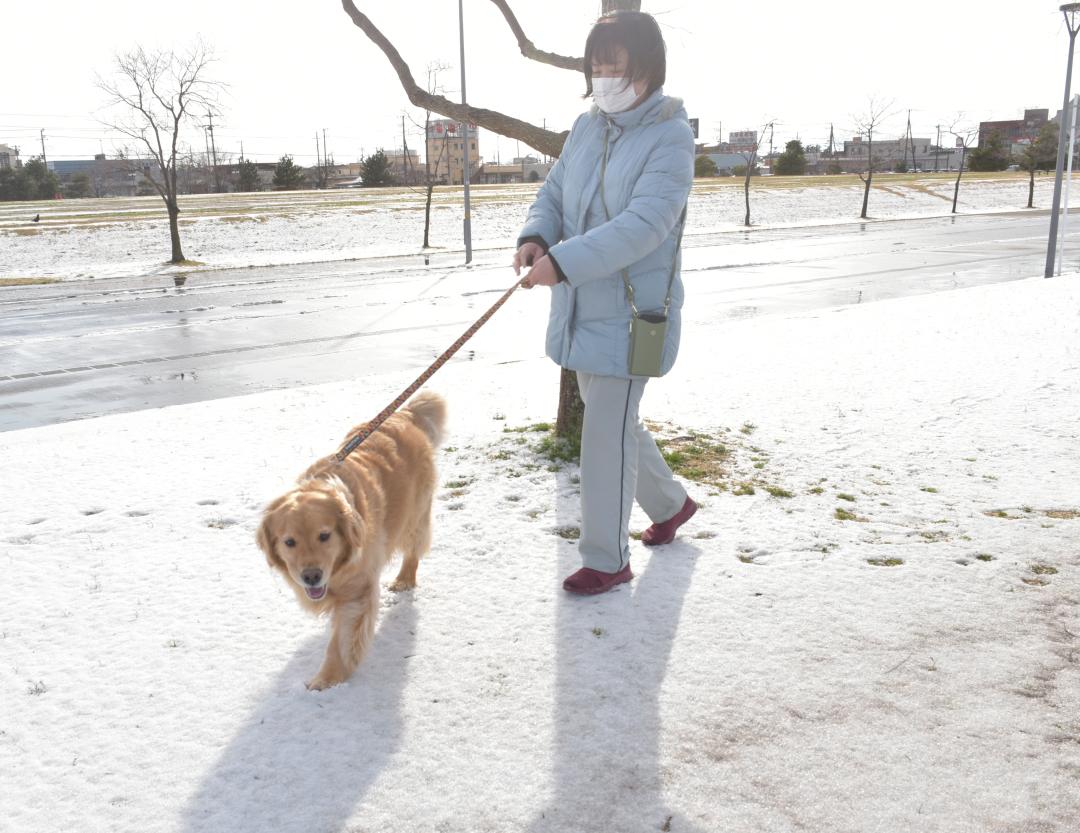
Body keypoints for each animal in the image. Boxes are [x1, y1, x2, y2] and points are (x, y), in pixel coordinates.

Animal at [257, 391, 447, 691]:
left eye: (324, 536)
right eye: (289, 542)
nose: (311, 576)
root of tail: (404, 413)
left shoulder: (358, 592)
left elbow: (342, 641)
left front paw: (327, 678)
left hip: (415, 515)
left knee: (413, 549)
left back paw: (404, 579)